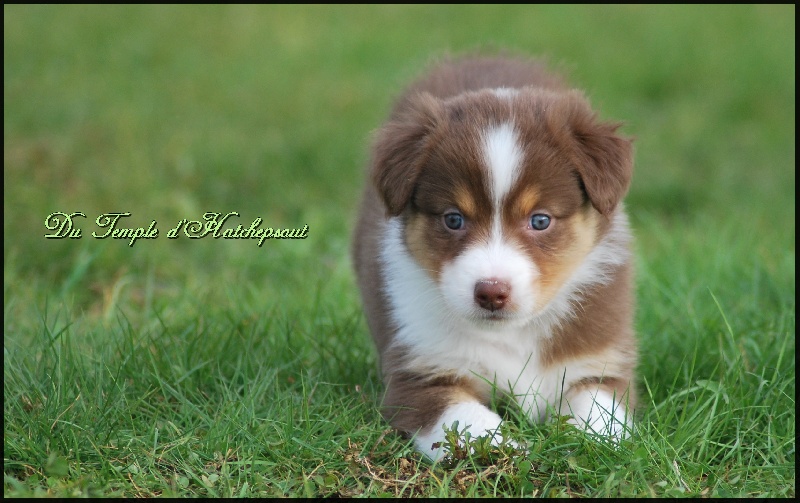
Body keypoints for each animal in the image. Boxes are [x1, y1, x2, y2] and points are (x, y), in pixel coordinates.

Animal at [354, 55, 640, 460]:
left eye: (540, 220)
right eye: (453, 219)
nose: (491, 292)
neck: (512, 334)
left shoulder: (599, 362)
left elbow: (600, 417)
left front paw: (585, 446)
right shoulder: (419, 373)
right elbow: (467, 424)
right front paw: (514, 453)